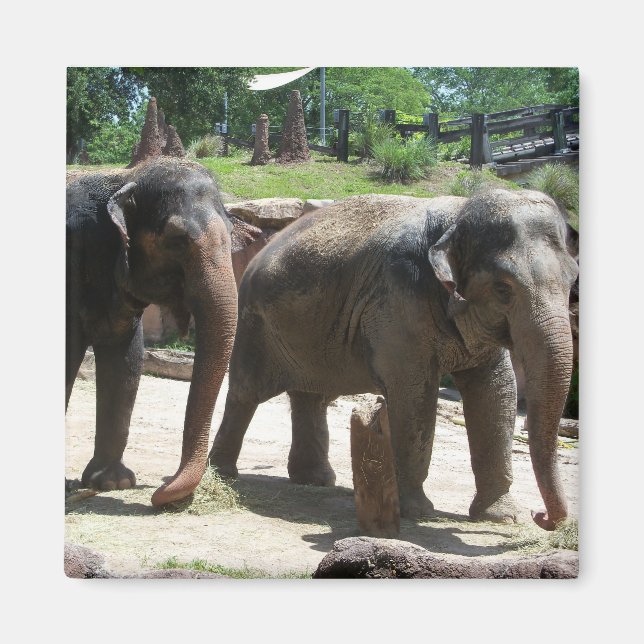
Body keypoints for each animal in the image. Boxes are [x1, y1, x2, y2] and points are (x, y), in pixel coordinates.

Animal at [66, 157, 263, 506]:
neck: (124, 179)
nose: (160, 491)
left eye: (230, 236)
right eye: (177, 240)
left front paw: (112, 482)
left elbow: (127, 360)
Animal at [208, 189, 578, 530]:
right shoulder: (397, 300)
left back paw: (314, 480)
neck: (458, 213)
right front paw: (417, 512)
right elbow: (414, 395)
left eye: (572, 281)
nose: (540, 516)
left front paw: (500, 518)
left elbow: (496, 392)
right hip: (255, 324)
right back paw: (223, 473)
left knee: (310, 396)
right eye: (503, 289)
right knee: (246, 392)